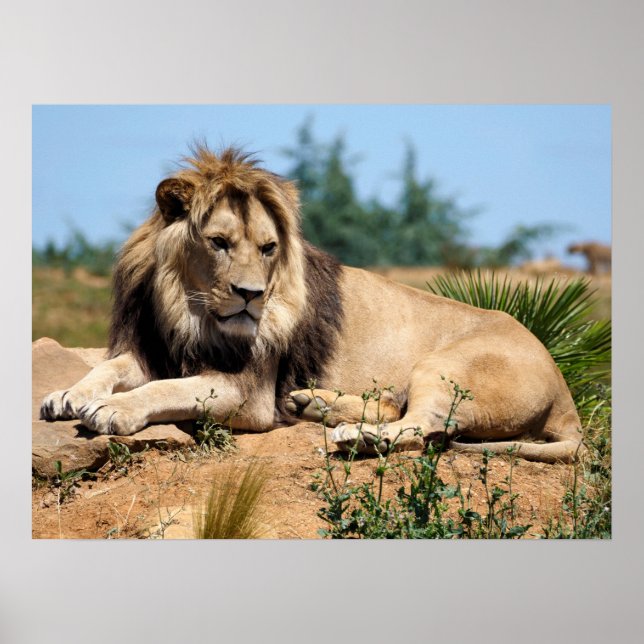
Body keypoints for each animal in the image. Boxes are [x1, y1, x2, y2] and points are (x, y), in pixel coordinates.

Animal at [40, 146, 583, 464]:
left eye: (268, 248)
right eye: (218, 243)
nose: (251, 296)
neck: (185, 307)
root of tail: (565, 394)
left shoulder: (248, 391)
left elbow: (164, 389)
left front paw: (112, 409)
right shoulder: (153, 347)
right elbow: (108, 367)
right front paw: (67, 395)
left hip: (444, 365)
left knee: (423, 427)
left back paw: (356, 437)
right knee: (397, 407)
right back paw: (313, 404)